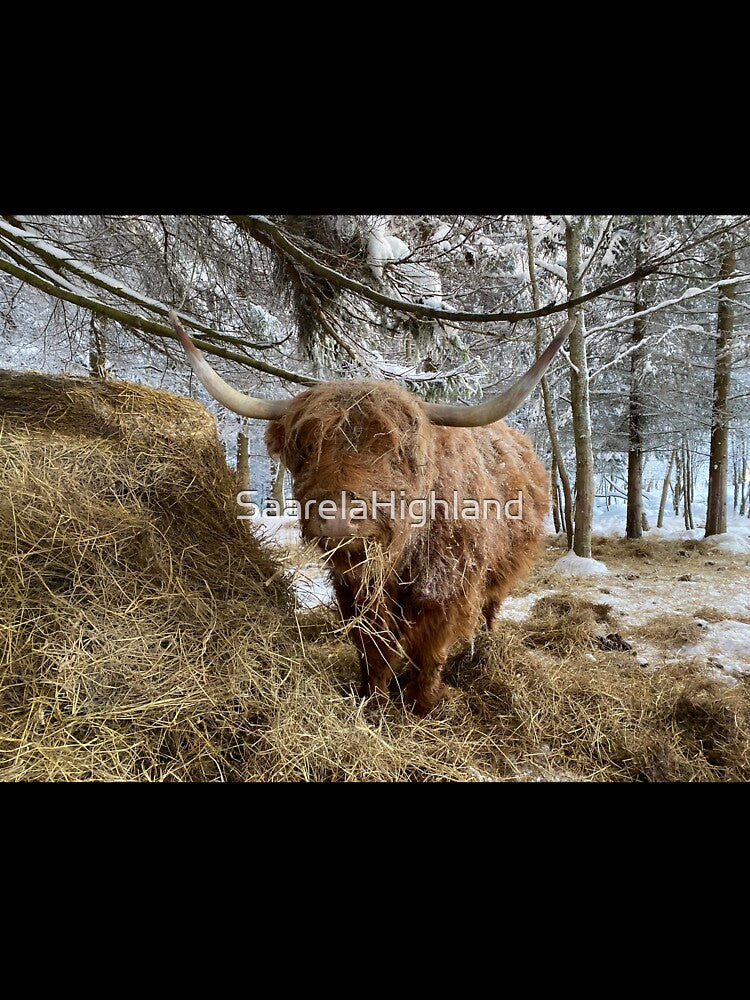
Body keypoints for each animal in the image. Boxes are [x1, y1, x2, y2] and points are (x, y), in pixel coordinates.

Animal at [169, 309, 573, 715]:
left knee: (491, 607)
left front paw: (423, 701)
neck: (401, 557)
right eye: (307, 449)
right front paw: (373, 698)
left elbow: (431, 649)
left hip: (502, 570)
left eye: (396, 453)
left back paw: (486, 646)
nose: (337, 516)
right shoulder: (353, 591)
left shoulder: (447, 590)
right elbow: (372, 646)